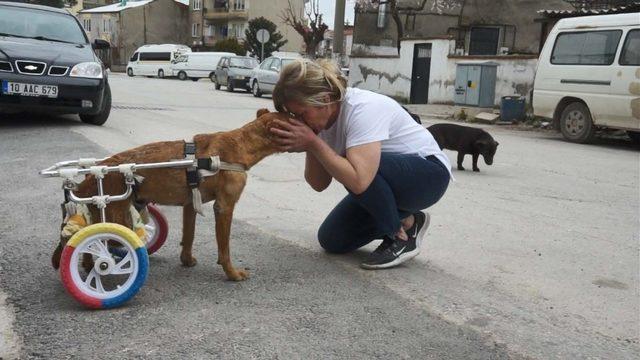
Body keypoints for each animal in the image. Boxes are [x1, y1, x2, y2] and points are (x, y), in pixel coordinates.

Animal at [51, 109, 286, 282]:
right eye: (292, 116)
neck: (242, 143)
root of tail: (90, 177)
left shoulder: (190, 204)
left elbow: (188, 236)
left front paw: (187, 260)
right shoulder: (224, 207)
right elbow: (224, 248)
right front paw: (232, 274)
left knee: (87, 246)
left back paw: (88, 267)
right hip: (115, 216)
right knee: (95, 244)